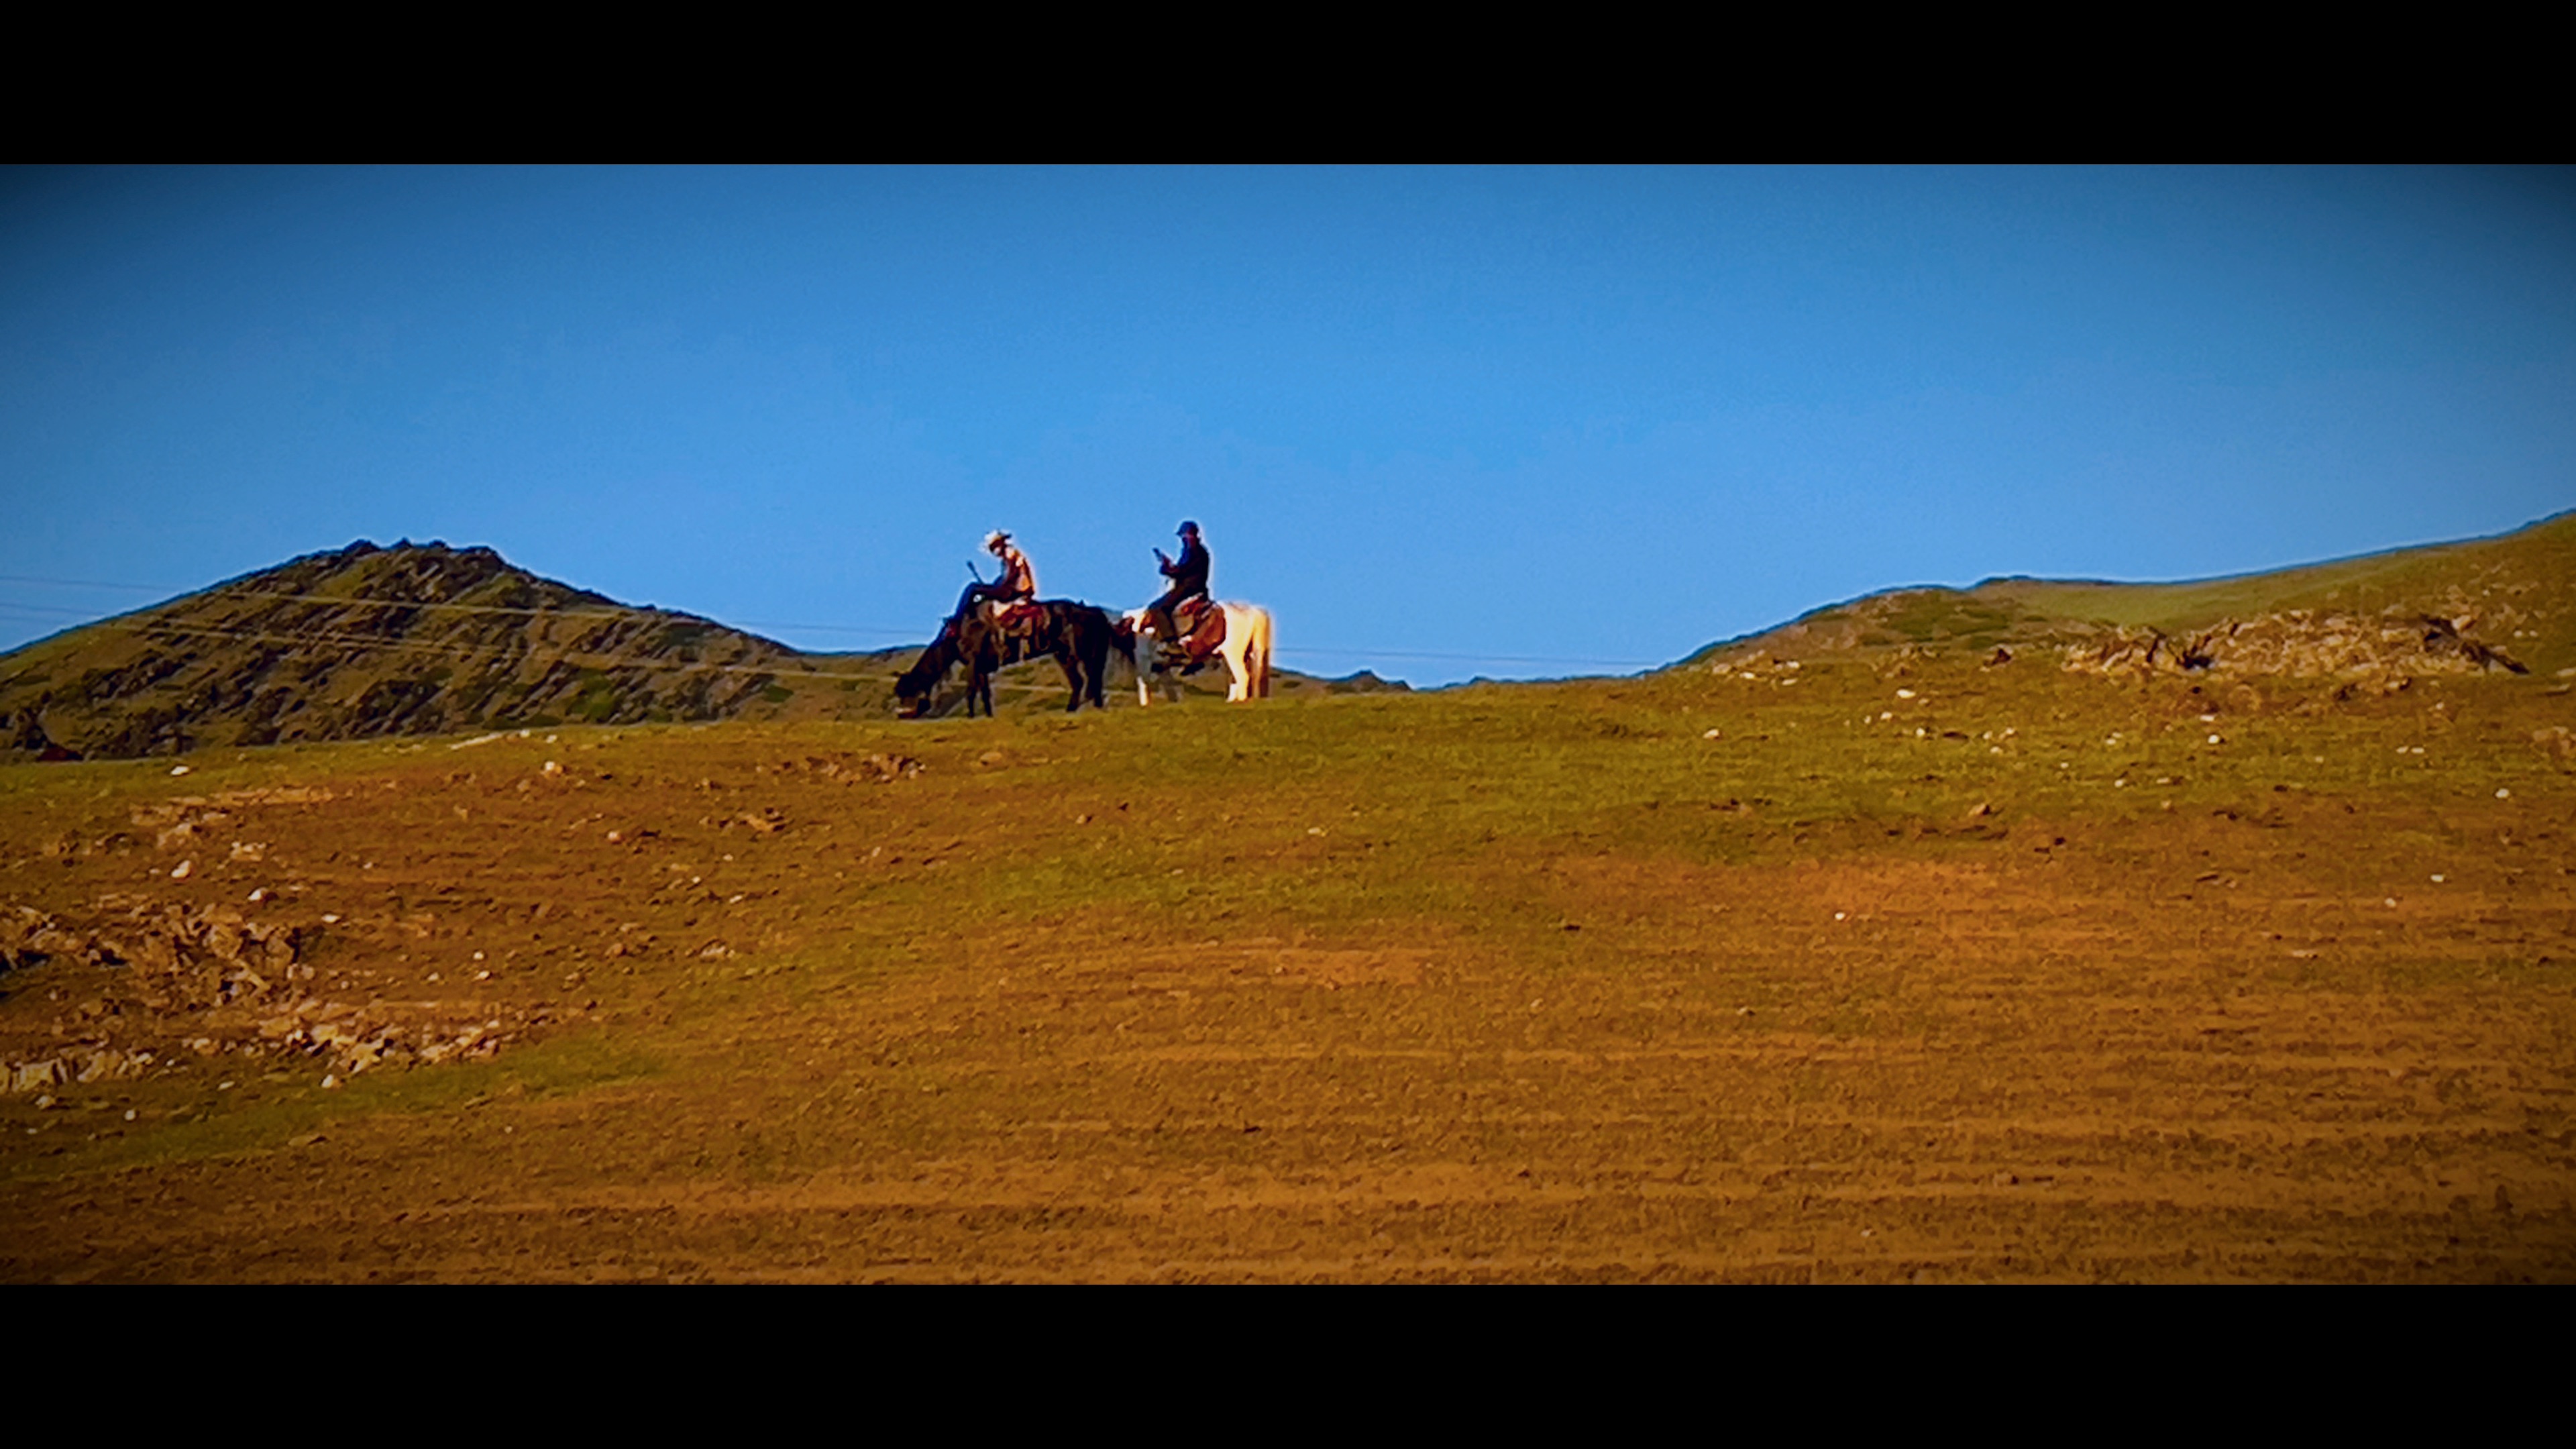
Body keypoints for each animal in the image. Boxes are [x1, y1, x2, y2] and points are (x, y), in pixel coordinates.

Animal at [891, 595, 1123, 711]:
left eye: (907, 693)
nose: (903, 714)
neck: (961, 631)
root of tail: (1092, 612)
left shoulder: (973, 663)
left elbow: (971, 692)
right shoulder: (982, 668)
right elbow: (984, 694)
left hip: (1083, 652)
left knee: (1091, 680)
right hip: (1065, 655)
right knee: (1082, 682)